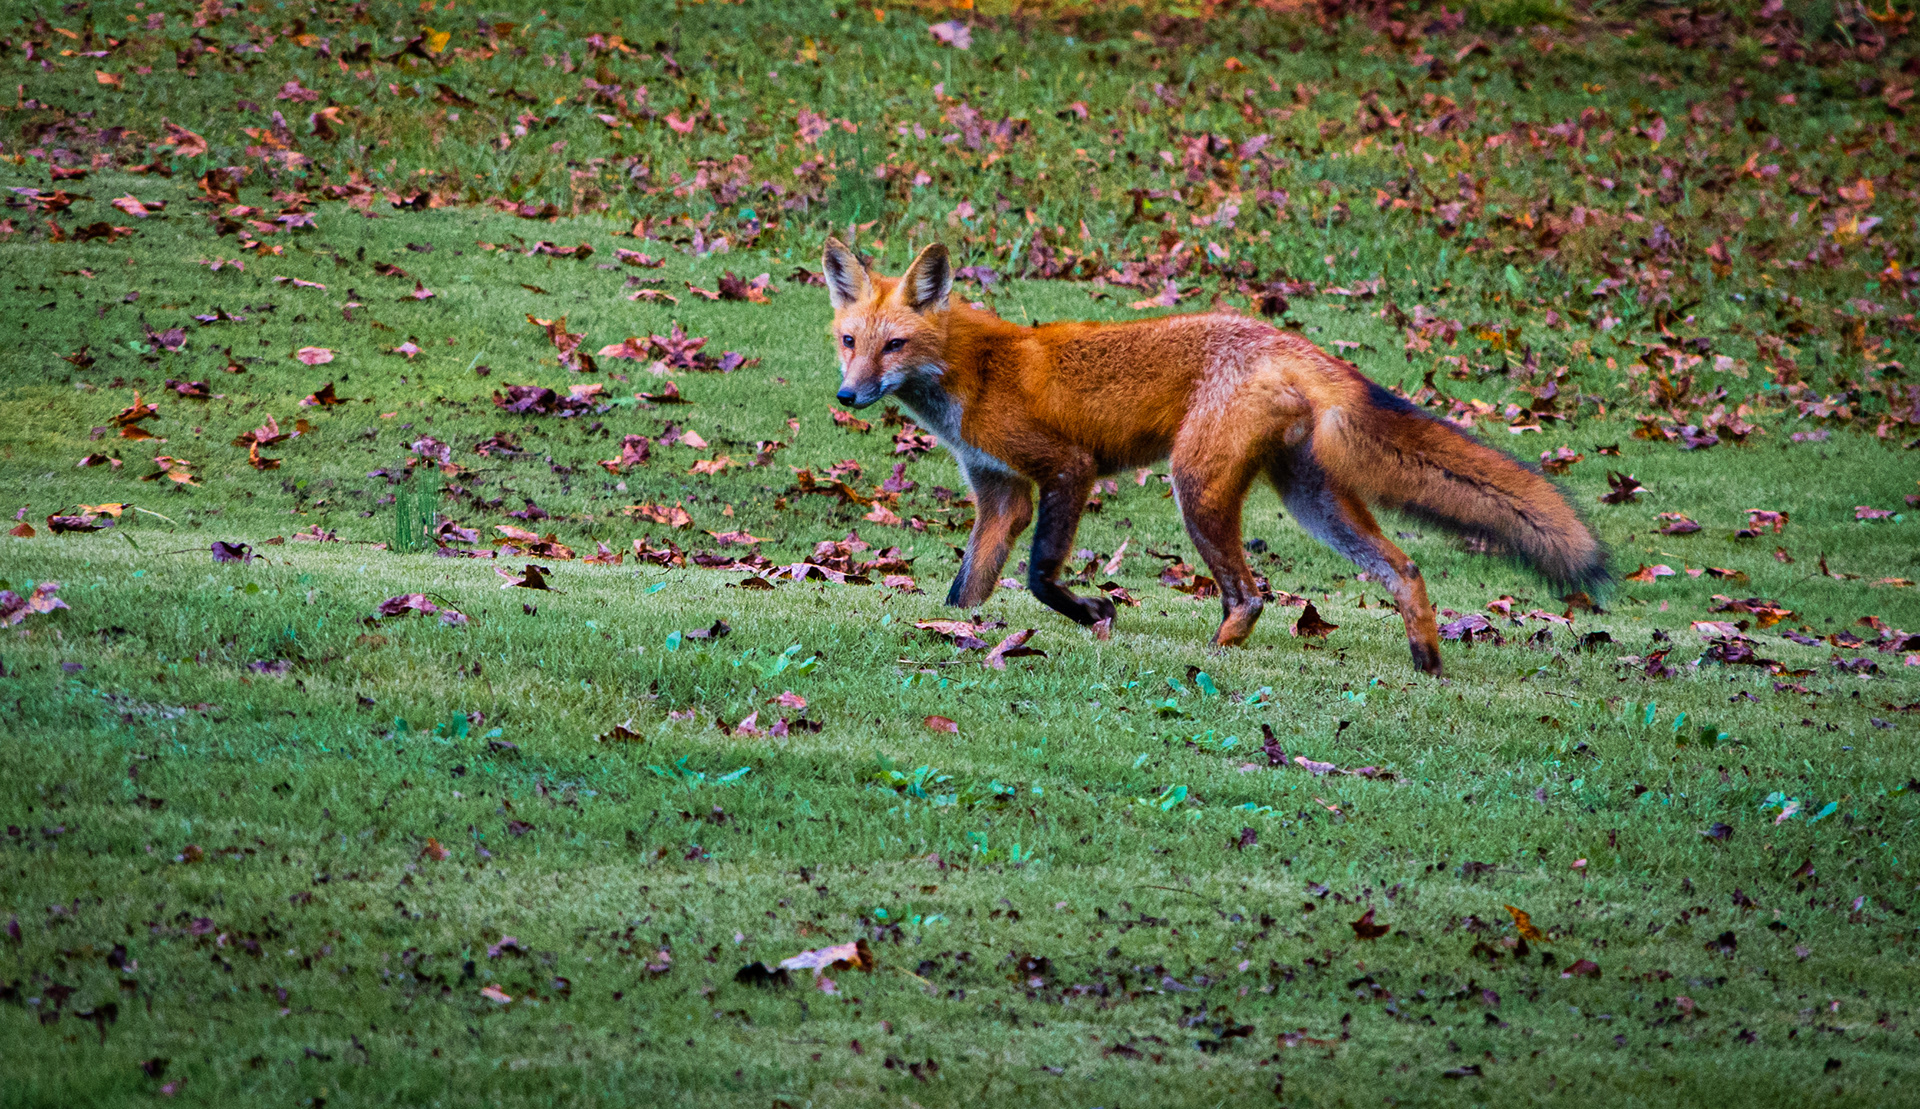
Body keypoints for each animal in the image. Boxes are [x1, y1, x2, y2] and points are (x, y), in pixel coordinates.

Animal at [821, 238, 1606, 675]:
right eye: (850, 341)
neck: (971, 372)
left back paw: (1214, 657)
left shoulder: (1067, 468)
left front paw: (1094, 613)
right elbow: (967, 588)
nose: (846, 395)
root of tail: (1289, 340)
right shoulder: (1000, 493)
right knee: (1403, 568)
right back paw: (1428, 663)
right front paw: (957, 631)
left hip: (1193, 483)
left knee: (1252, 593)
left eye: (895, 344)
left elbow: (1042, 576)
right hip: (1310, 501)